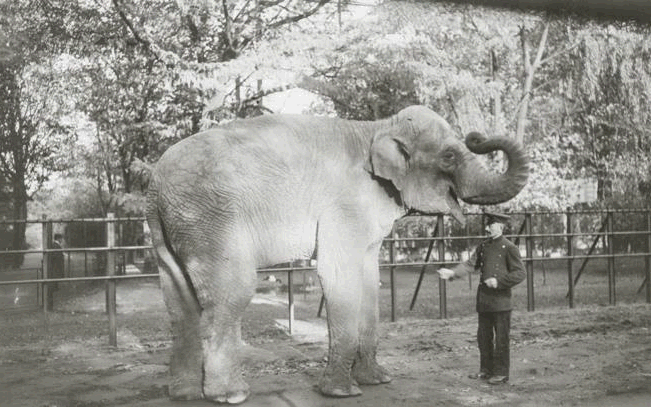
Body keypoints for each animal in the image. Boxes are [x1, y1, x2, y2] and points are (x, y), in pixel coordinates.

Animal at [145, 105, 529, 404]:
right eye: (450, 156)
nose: (477, 135)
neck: (378, 127)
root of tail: (155, 180)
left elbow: (370, 280)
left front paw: (378, 381)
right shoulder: (346, 205)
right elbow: (339, 275)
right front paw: (342, 393)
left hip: (174, 225)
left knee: (179, 302)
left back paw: (185, 394)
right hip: (211, 218)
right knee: (231, 292)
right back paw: (231, 395)